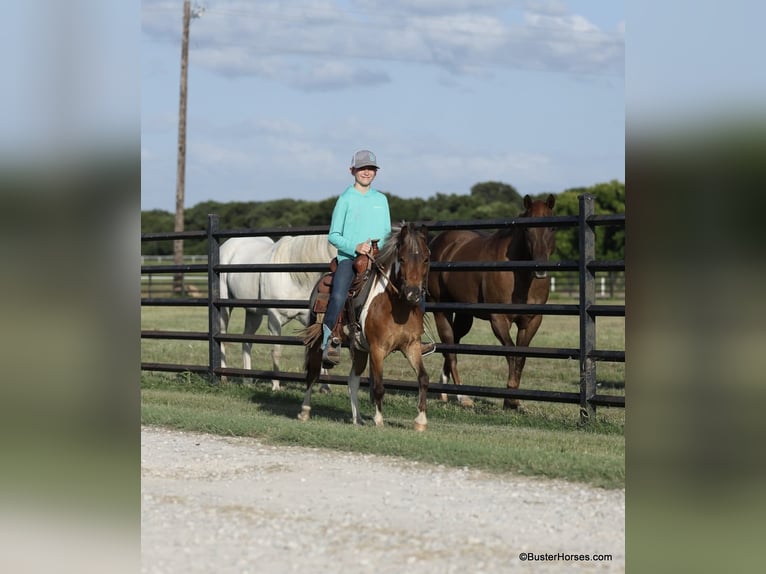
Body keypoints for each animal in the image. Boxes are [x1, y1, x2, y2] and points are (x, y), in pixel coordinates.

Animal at [218, 234, 334, 392]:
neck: (294, 276)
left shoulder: (308, 319)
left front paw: (325, 387)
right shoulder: (275, 319)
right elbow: (277, 350)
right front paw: (276, 385)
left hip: (254, 314)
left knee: (247, 342)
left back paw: (248, 380)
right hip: (225, 307)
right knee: (223, 337)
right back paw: (223, 377)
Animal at [298, 223, 432, 430]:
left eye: (426, 258)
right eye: (402, 258)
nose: (413, 293)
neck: (396, 306)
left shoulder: (412, 346)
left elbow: (423, 378)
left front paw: (421, 421)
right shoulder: (378, 349)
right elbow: (378, 386)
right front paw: (378, 420)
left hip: (360, 350)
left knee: (352, 380)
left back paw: (357, 419)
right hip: (317, 341)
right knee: (312, 373)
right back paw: (305, 411)